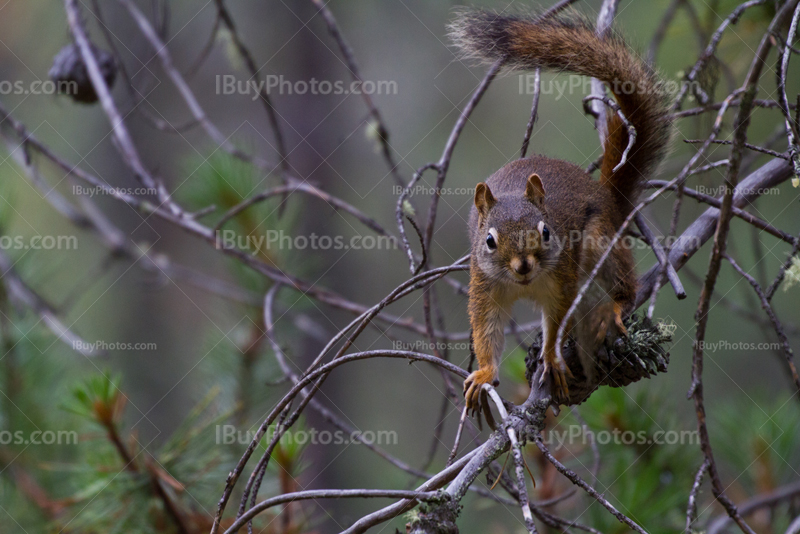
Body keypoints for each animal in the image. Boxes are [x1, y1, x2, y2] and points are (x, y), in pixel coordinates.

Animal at [450, 8, 676, 412]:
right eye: (489, 241)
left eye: (545, 231)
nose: (523, 265)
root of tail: (606, 196)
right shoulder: (485, 286)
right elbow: (486, 329)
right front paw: (484, 374)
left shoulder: (564, 280)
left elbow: (558, 320)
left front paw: (553, 358)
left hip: (600, 240)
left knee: (624, 286)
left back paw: (614, 308)